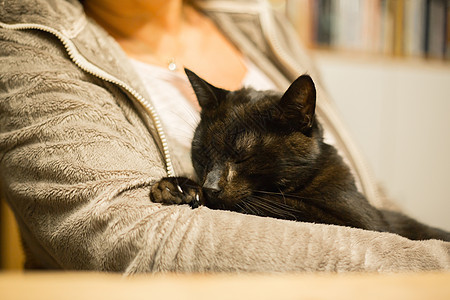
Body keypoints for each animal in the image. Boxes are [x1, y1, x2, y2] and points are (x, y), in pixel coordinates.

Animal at [150, 68, 450, 241]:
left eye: (243, 157)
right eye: (202, 154)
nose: (211, 186)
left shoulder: (362, 223)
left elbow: (271, 203)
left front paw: (182, 187)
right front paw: (176, 187)